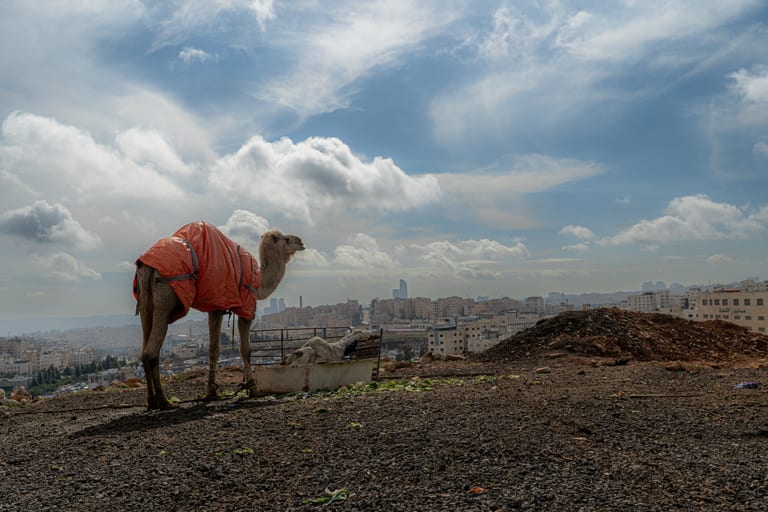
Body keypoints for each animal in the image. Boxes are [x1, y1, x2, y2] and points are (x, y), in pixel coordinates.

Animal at [135, 222, 304, 409]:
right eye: (286, 239)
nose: (301, 241)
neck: (258, 280)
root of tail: (148, 266)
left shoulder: (215, 305)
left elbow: (213, 350)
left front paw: (211, 392)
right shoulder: (246, 307)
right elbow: (245, 350)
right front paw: (253, 389)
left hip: (145, 303)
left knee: (144, 350)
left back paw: (151, 401)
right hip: (165, 299)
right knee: (151, 352)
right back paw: (165, 401)